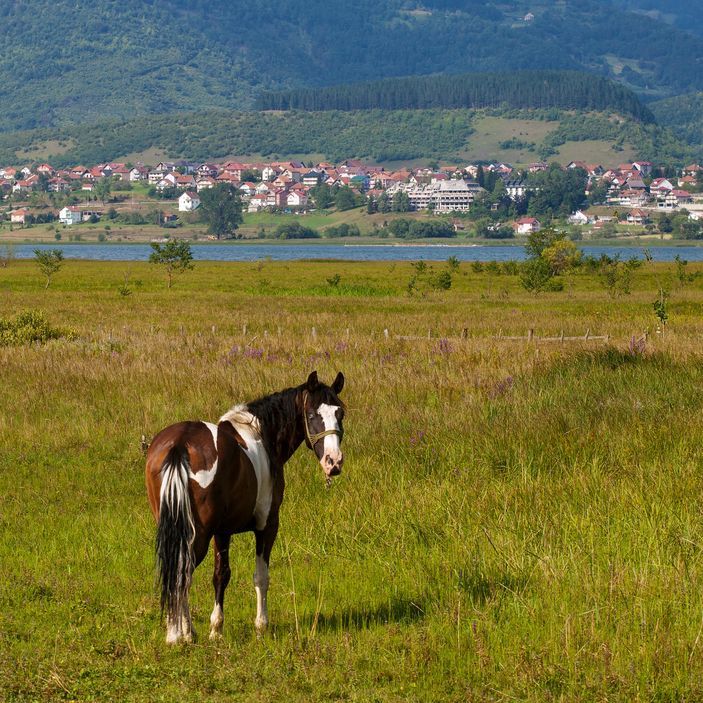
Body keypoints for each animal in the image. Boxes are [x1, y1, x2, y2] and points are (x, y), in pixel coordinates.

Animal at [146, 372, 346, 648]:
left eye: (340, 413)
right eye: (312, 414)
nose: (333, 462)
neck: (262, 435)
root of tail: (179, 445)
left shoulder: (222, 532)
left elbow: (219, 575)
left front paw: (212, 629)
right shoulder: (266, 526)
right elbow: (259, 577)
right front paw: (258, 627)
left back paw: (184, 631)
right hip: (198, 536)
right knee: (181, 574)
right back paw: (177, 634)